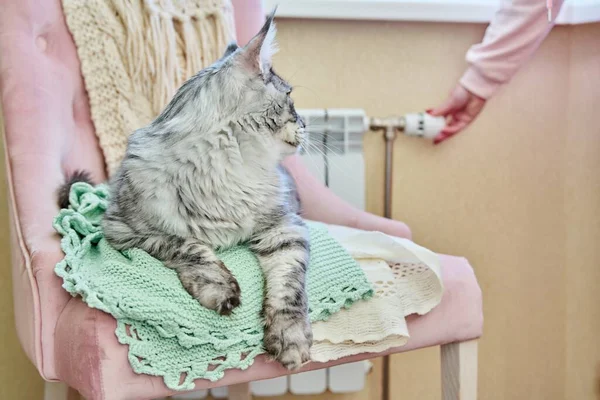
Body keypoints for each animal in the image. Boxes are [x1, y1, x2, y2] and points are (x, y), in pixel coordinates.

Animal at [59, 11, 314, 368]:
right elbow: (189, 247)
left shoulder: (286, 229)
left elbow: (289, 288)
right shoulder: (126, 232)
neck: (227, 171)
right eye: (290, 99)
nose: (305, 123)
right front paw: (220, 289)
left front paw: (290, 338)